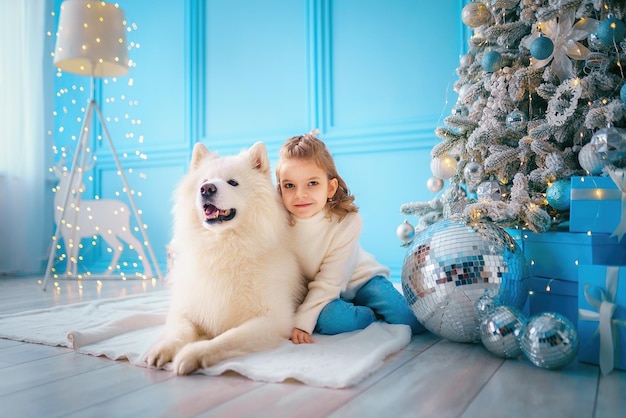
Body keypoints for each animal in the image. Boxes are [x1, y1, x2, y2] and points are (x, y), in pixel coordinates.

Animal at [144, 141, 304, 376]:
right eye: (203, 181)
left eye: (233, 182)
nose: (207, 188)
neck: (222, 250)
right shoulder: (185, 308)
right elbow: (179, 331)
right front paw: (162, 349)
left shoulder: (273, 319)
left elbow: (225, 338)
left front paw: (192, 355)